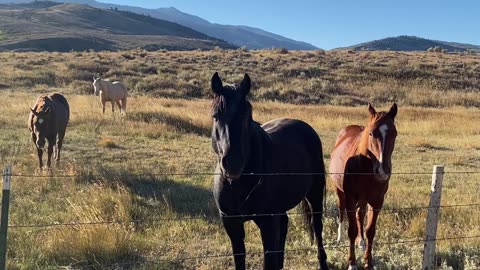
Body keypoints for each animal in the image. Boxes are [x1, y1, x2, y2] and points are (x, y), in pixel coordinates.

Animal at [212, 72, 328, 270]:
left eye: (248, 116)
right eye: (215, 116)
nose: (233, 163)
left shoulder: (268, 223)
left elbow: (268, 260)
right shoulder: (231, 224)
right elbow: (240, 259)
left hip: (315, 194)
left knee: (317, 226)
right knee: (285, 223)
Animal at [330, 102, 398, 268]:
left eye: (394, 133)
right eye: (371, 133)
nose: (382, 170)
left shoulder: (377, 201)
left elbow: (370, 230)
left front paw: (368, 262)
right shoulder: (350, 198)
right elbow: (352, 230)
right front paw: (352, 263)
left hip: (363, 199)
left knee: (360, 215)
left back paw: (361, 241)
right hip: (340, 192)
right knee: (341, 211)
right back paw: (339, 237)